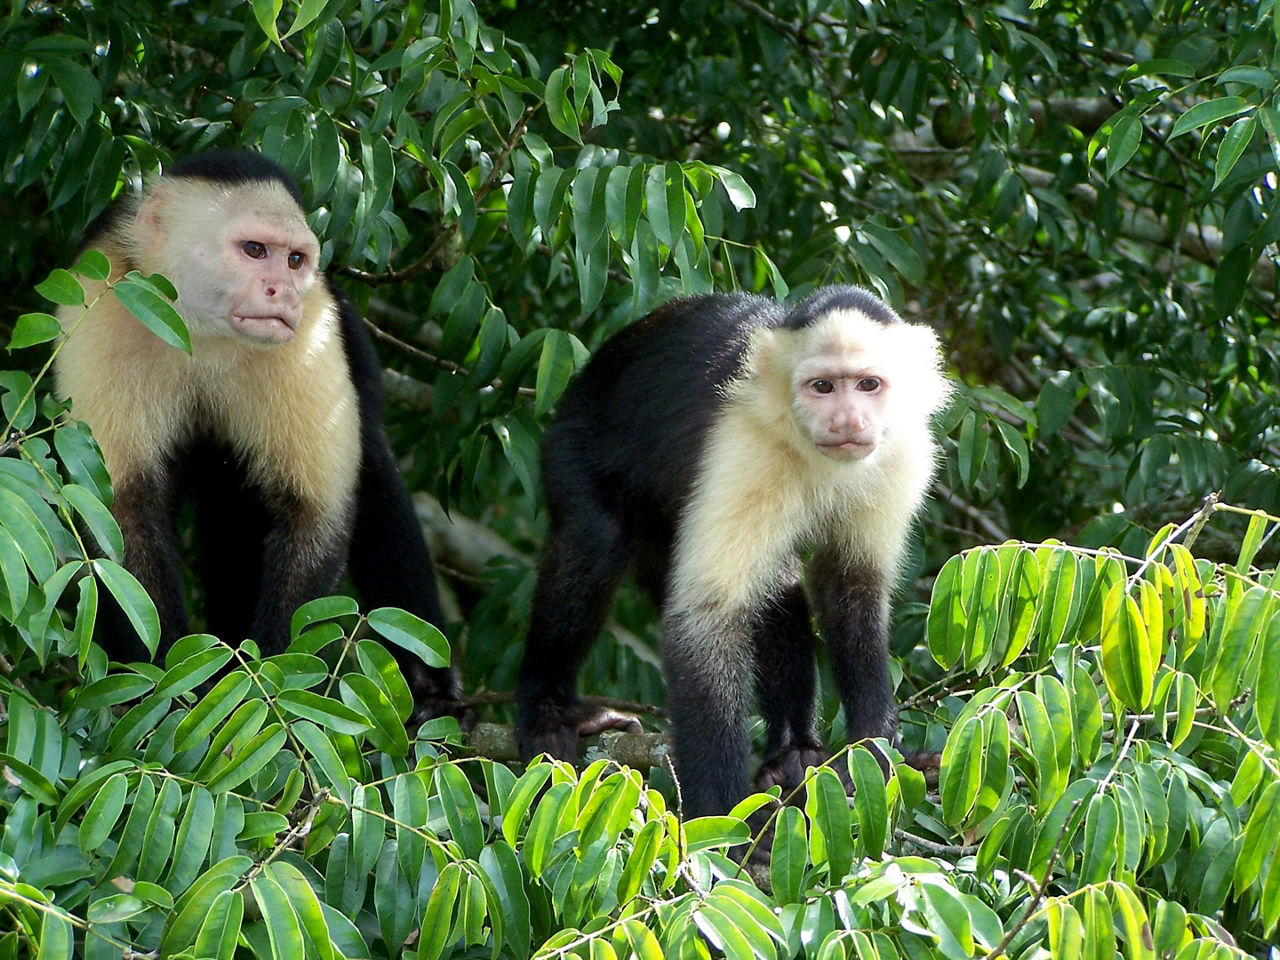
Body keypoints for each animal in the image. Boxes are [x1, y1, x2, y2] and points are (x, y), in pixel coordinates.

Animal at [55, 150, 458, 716]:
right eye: (254, 250)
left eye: (294, 260)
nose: (283, 292)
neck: (198, 328)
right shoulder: (103, 305)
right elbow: (120, 517)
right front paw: (164, 694)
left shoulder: (312, 328)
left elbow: (314, 514)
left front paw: (274, 693)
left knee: (371, 474)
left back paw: (431, 691)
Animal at [512, 285, 952, 819]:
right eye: (822, 387)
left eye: (869, 384)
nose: (848, 419)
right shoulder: (745, 444)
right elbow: (709, 616)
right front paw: (722, 819)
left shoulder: (903, 452)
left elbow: (850, 585)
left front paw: (877, 751)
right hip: (572, 444)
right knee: (594, 541)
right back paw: (546, 706)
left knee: (778, 584)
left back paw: (791, 752)